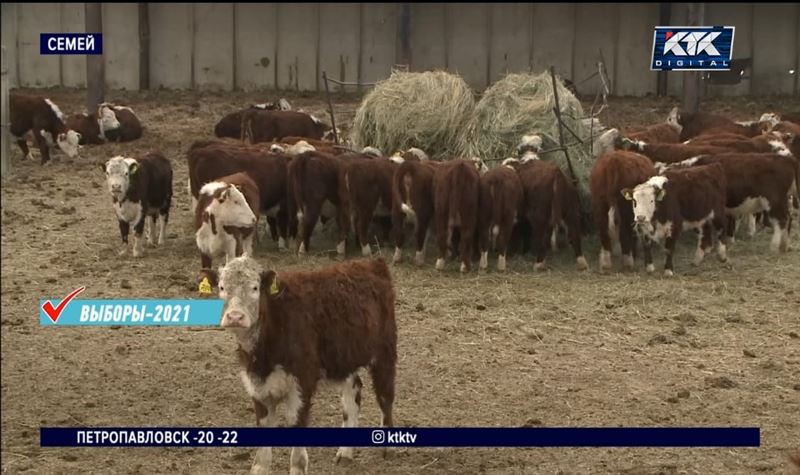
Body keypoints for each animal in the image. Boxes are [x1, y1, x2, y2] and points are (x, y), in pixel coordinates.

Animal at [203, 256, 396, 475]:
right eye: (221, 287)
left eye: (255, 287)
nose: (235, 316)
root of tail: (372, 263)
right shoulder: (258, 387)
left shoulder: (302, 384)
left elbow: (297, 431)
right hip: (343, 358)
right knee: (353, 391)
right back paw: (345, 452)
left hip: (385, 352)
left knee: (385, 397)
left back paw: (388, 448)